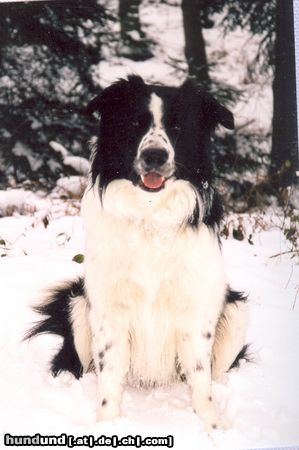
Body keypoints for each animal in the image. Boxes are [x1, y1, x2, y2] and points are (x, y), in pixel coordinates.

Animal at [27, 76, 248, 432]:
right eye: (134, 124)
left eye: (177, 126)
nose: (155, 155)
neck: (150, 216)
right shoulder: (108, 309)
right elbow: (110, 376)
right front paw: (106, 424)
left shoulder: (196, 306)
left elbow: (201, 379)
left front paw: (212, 427)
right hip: (78, 305)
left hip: (237, 312)